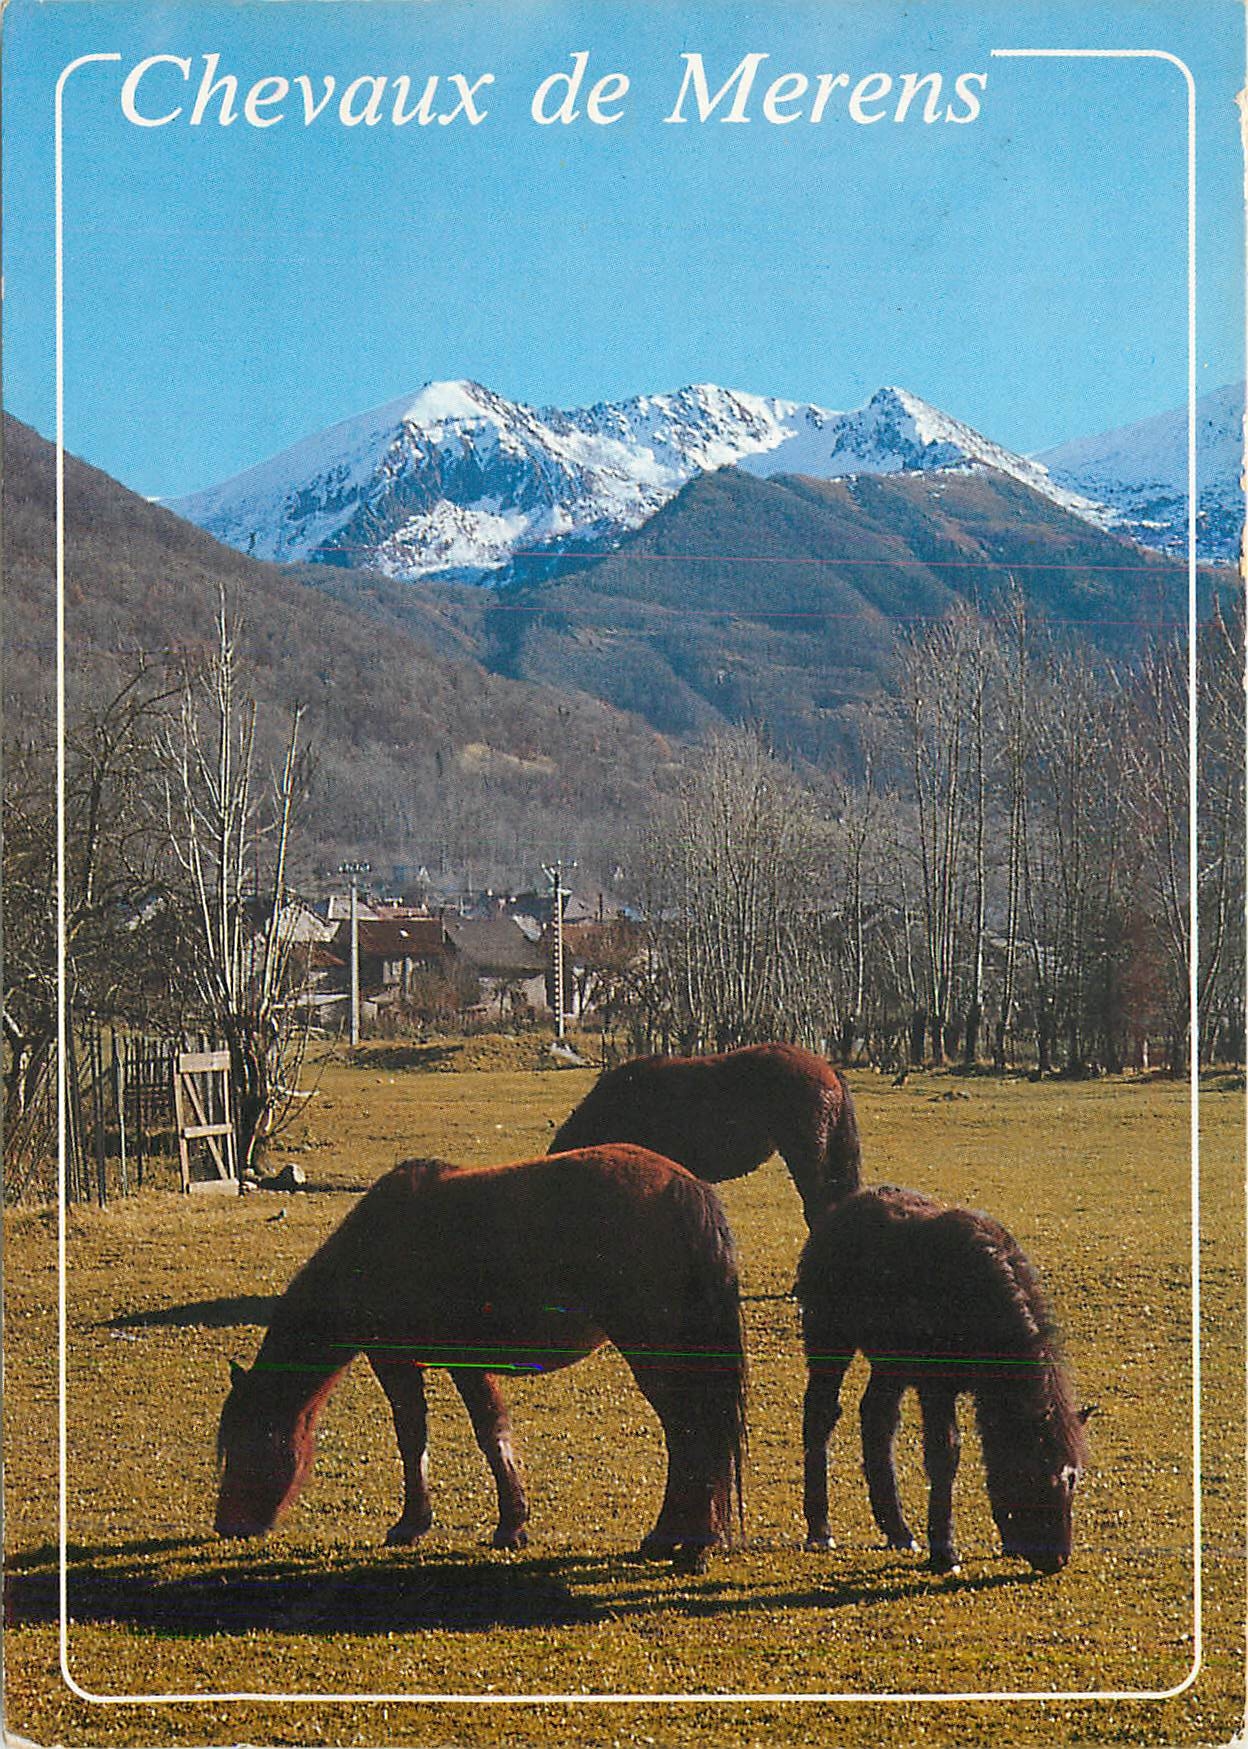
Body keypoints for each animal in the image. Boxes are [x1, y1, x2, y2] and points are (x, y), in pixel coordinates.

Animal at [215, 1145, 747, 1567]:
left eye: (247, 1445)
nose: (227, 1526)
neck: (380, 1246)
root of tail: (685, 1187)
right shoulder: (426, 1363)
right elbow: (448, 1435)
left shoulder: (421, 1362)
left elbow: (460, 1434)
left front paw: (476, 1525)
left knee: (690, 1432)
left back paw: (684, 1541)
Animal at [795, 1185, 1089, 1575]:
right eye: (1032, 1475)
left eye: (1073, 1479)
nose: (1055, 1559)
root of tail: (839, 1213)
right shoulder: (936, 1386)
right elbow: (944, 1455)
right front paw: (945, 1552)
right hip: (830, 1341)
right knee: (821, 1416)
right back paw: (820, 1529)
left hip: (891, 1365)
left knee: (877, 1421)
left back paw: (898, 1531)